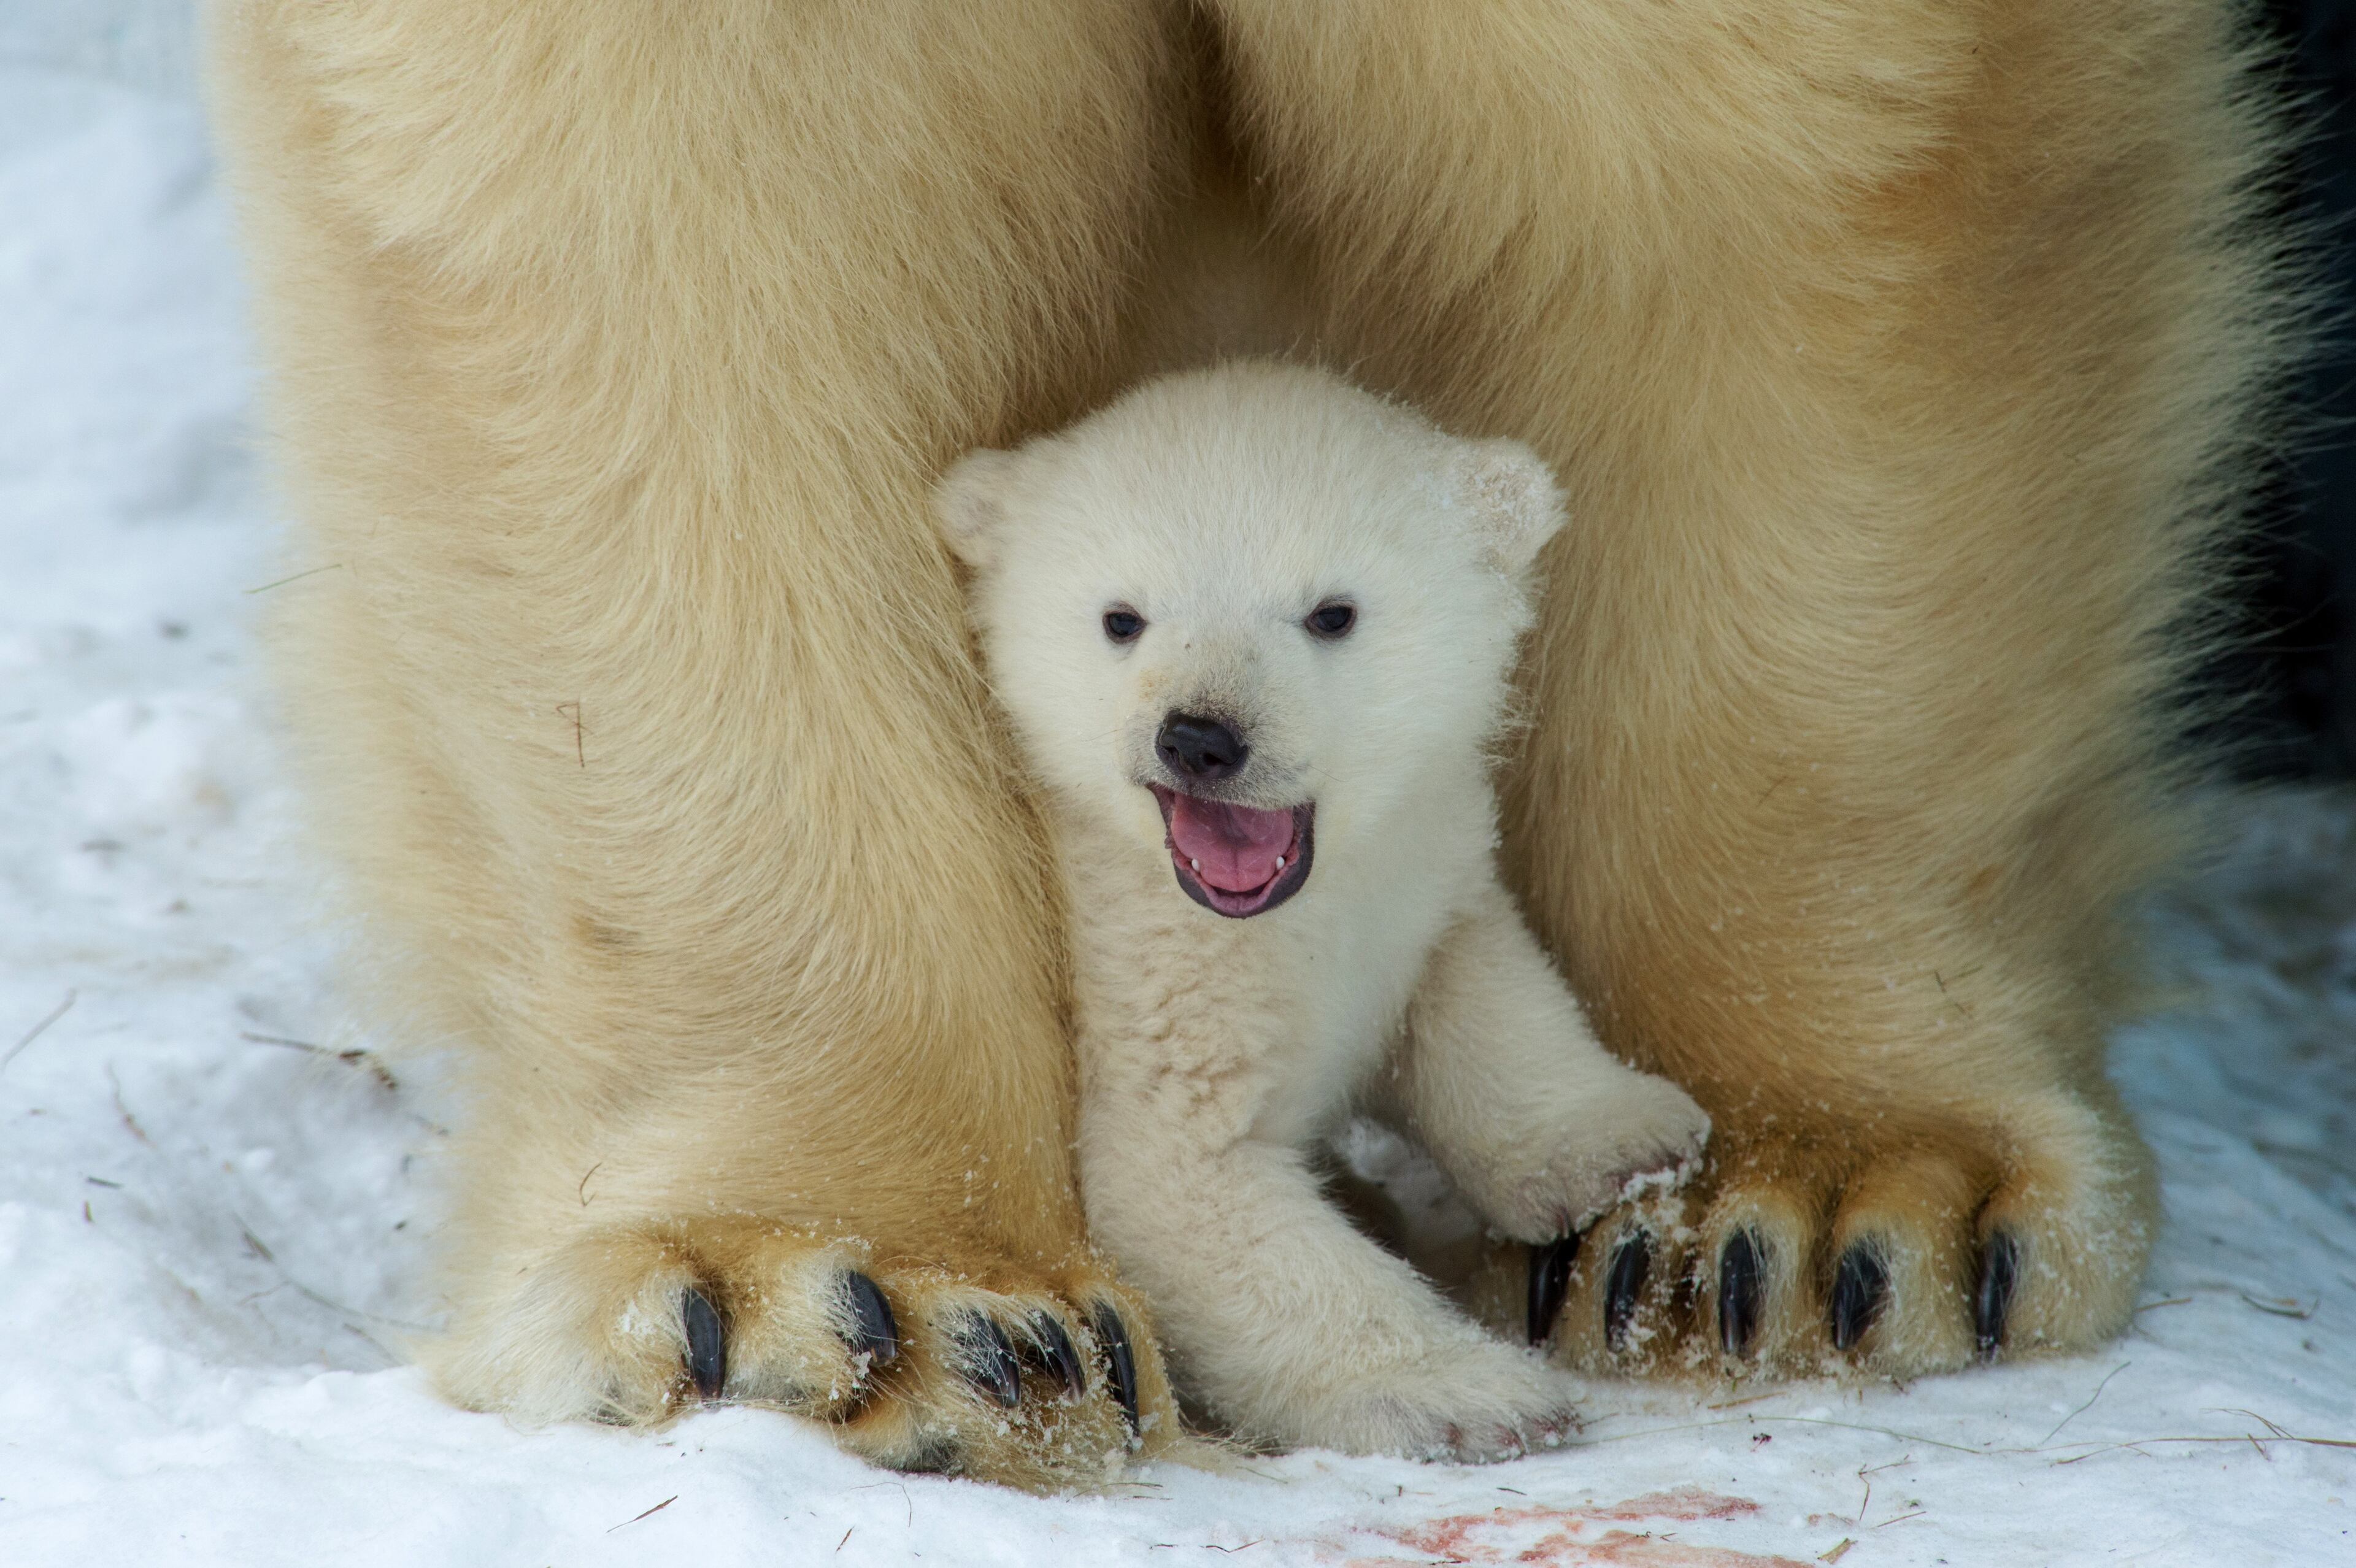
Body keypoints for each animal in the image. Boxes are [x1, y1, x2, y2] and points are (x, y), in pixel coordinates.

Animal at [934, 362, 1711, 1459]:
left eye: (1332, 612)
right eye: (1122, 618)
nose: (1201, 737)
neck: (1268, 919)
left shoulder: (1414, 864)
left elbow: (1470, 975)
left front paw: (1622, 1139)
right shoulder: (1143, 977)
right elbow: (1186, 1182)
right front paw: (1473, 1392)